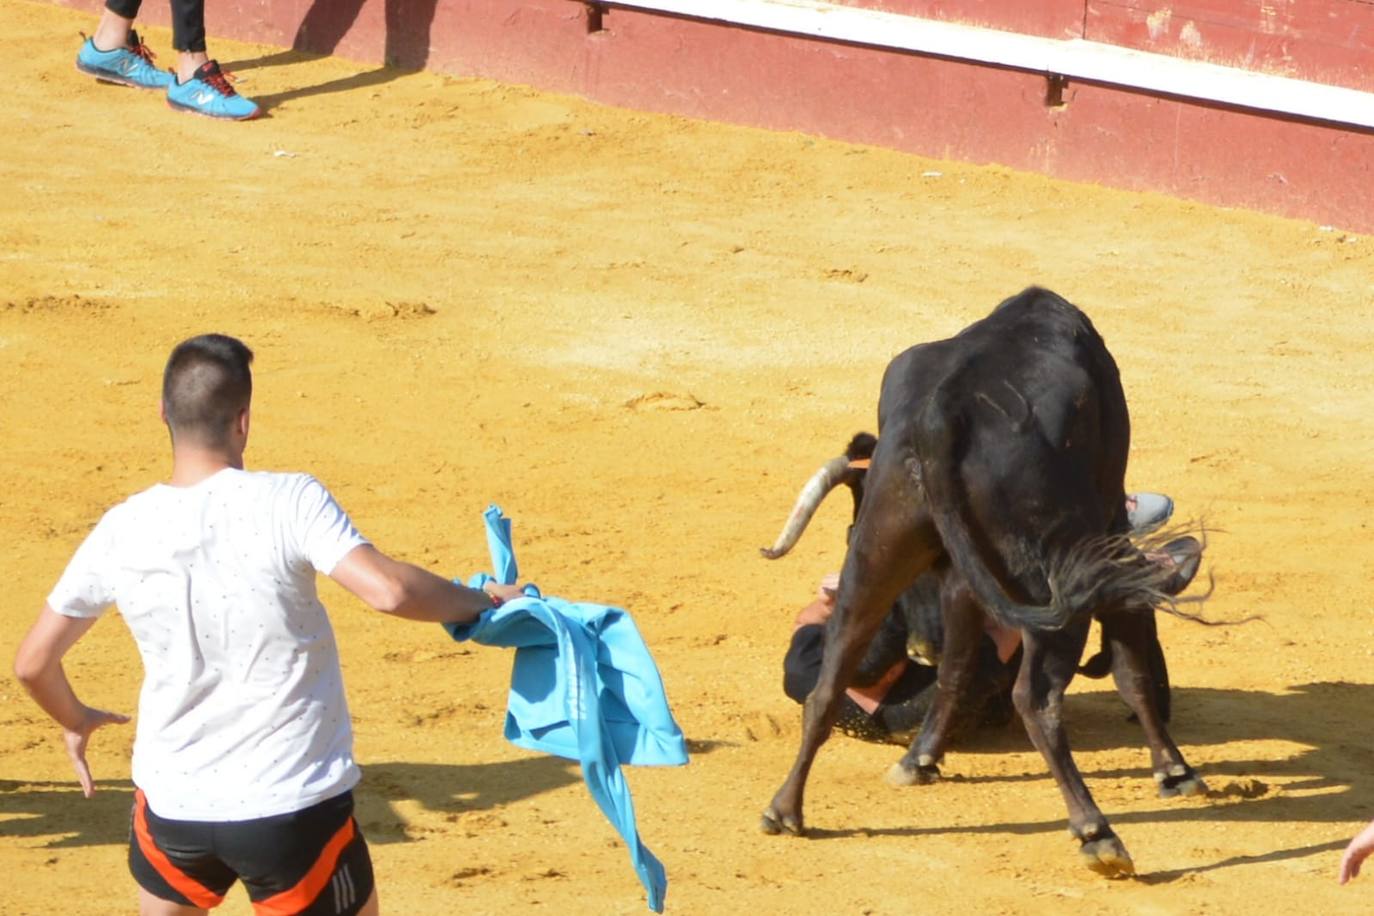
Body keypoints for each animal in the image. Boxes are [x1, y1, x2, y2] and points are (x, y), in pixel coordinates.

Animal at [763, 287, 1203, 873]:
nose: (920, 645)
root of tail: (941, 417)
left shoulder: (954, 577)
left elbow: (955, 666)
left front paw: (919, 760)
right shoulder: (1106, 535)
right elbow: (1131, 663)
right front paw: (1174, 770)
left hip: (879, 552)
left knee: (829, 683)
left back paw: (785, 810)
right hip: (1053, 584)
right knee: (1036, 699)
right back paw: (1097, 833)